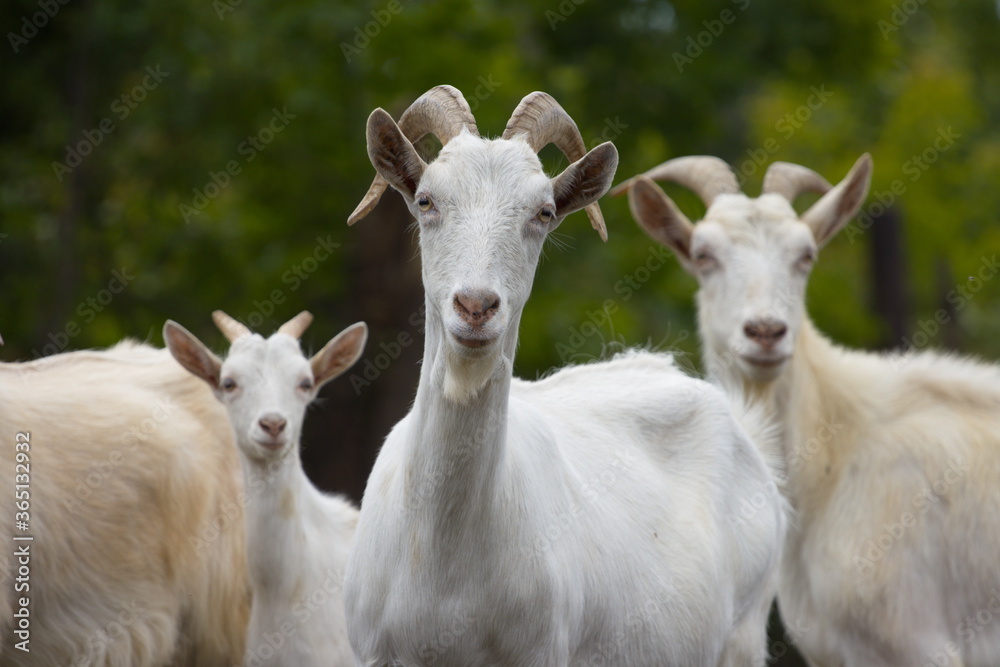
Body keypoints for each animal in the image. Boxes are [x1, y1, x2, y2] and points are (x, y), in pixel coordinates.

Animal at [344, 87, 788, 667]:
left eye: (544, 211)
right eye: (426, 201)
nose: (476, 306)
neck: (445, 561)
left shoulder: (541, 650)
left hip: (744, 633)